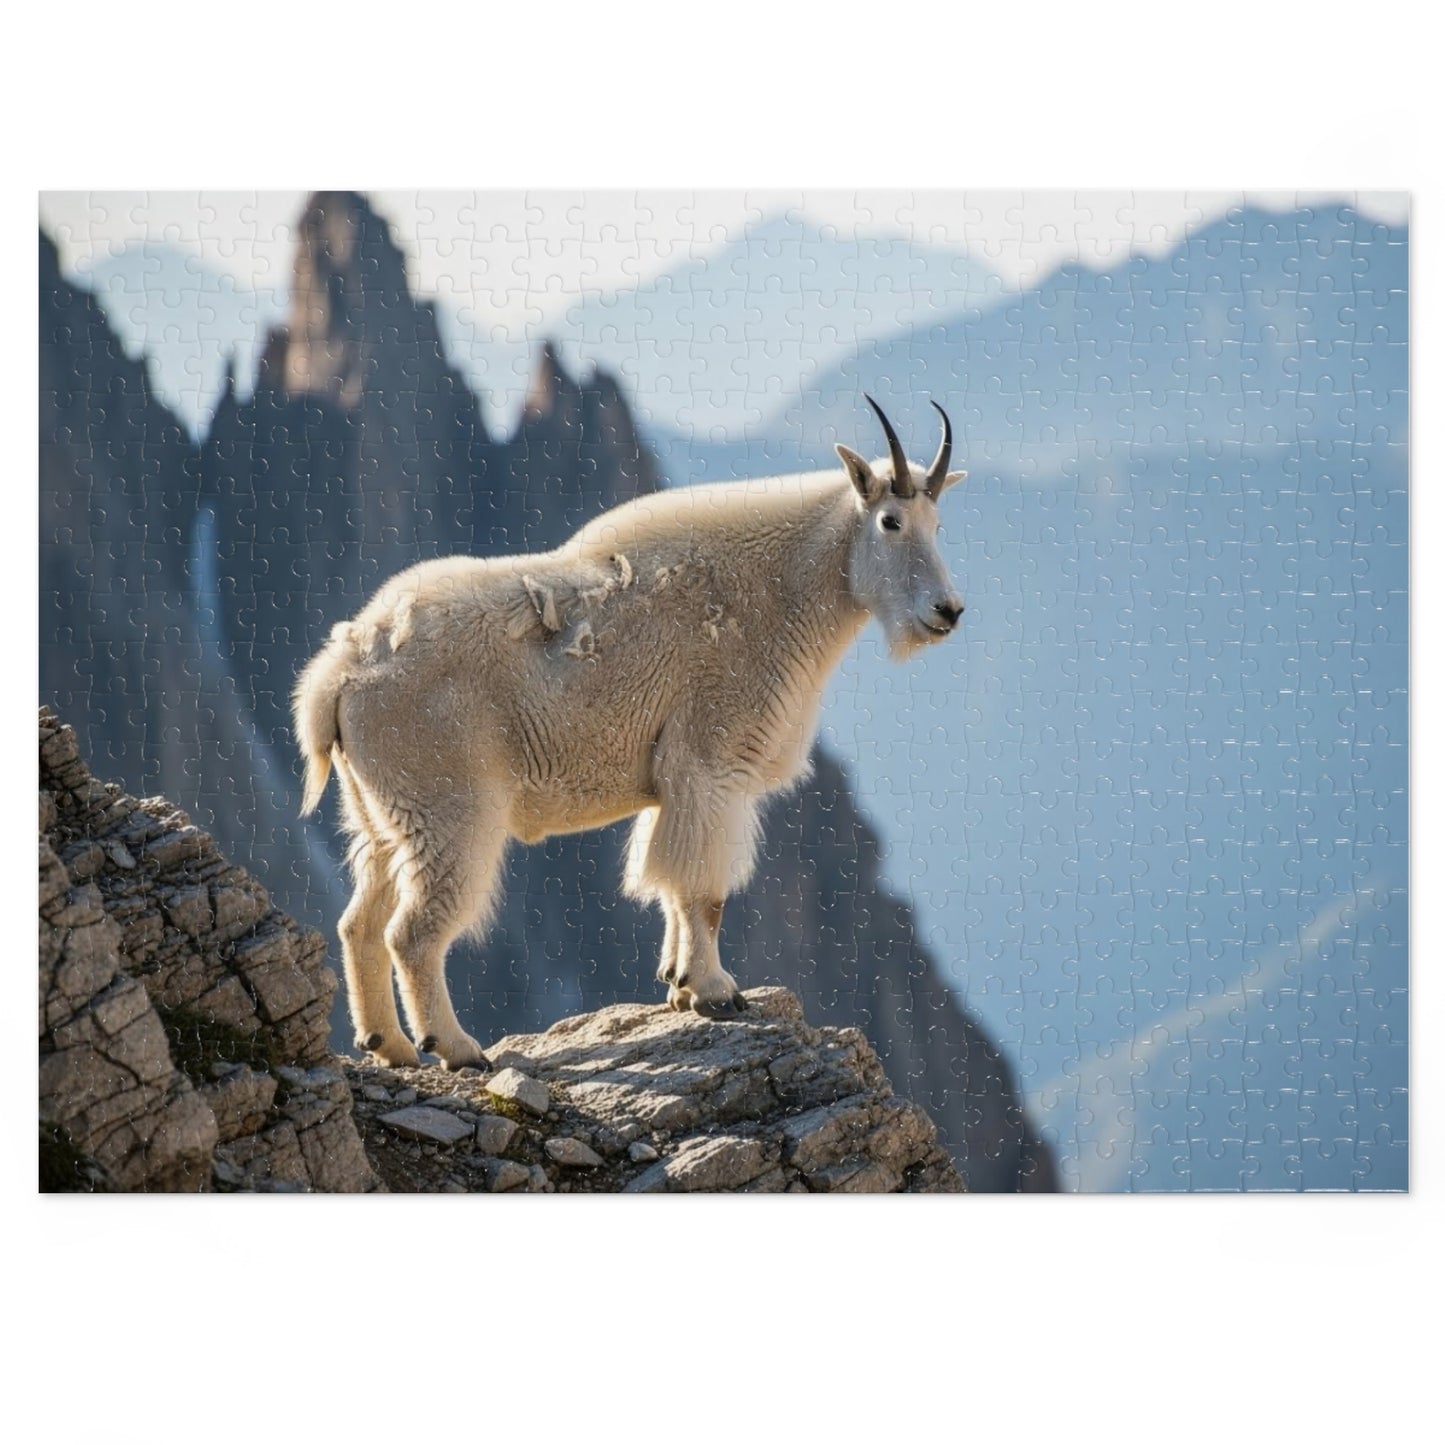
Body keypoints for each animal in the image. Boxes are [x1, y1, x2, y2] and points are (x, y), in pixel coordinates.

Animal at [293, 397, 966, 1069]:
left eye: (937, 523)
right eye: (890, 521)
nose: (948, 611)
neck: (779, 591)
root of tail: (338, 674)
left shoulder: (675, 780)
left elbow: (670, 882)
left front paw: (678, 984)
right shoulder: (712, 760)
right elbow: (704, 890)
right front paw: (715, 990)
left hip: (381, 812)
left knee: (359, 921)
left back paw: (388, 1044)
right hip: (446, 806)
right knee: (413, 931)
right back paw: (456, 1048)